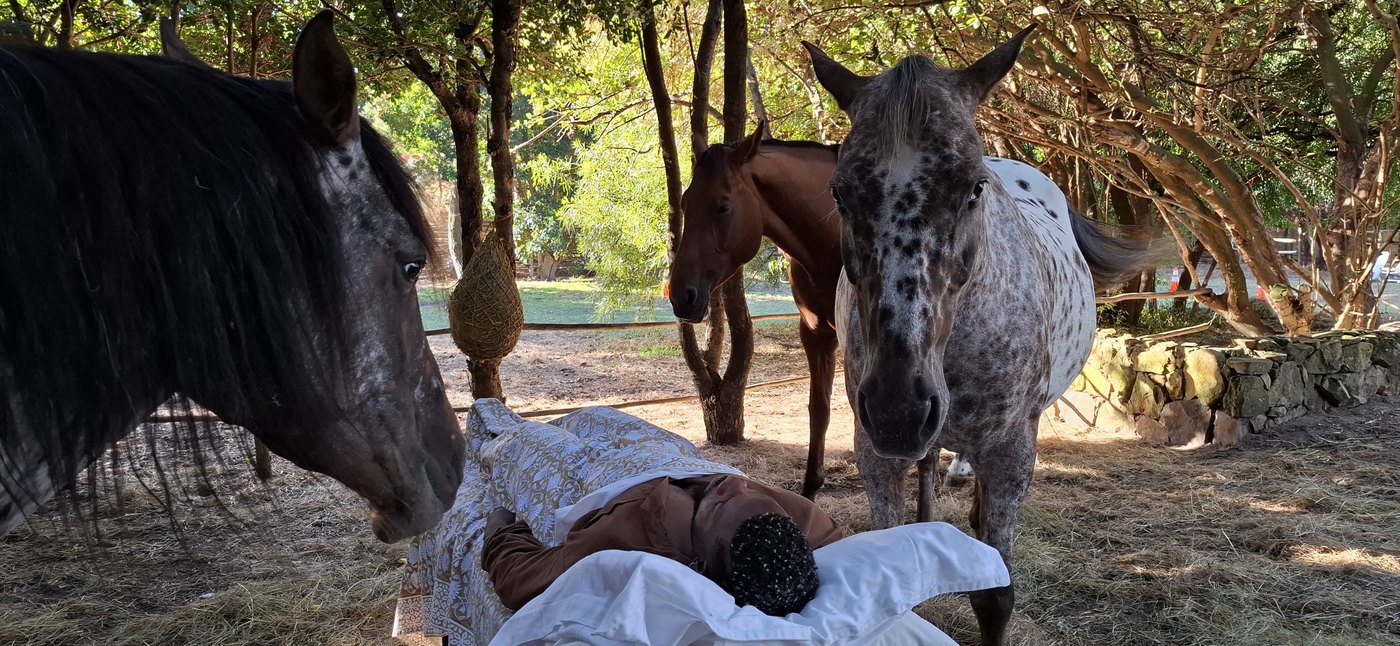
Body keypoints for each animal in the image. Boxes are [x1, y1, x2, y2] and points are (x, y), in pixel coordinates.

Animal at [804, 27, 1160, 644]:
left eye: (973, 189)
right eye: (840, 194)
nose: (898, 408)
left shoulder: (1010, 451)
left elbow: (996, 596)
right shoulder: (875, 451)